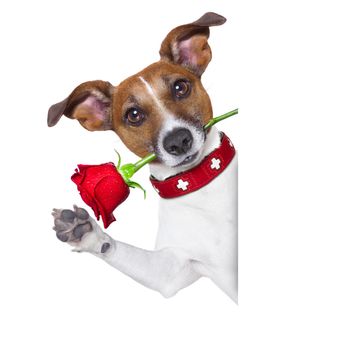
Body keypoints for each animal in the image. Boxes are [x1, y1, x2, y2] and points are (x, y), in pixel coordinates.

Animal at [47, 11, 238, 300]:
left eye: (180, 87)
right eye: (134, 115)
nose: (178, 141)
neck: (200, 183)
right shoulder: (172, 270)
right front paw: (86, 233)